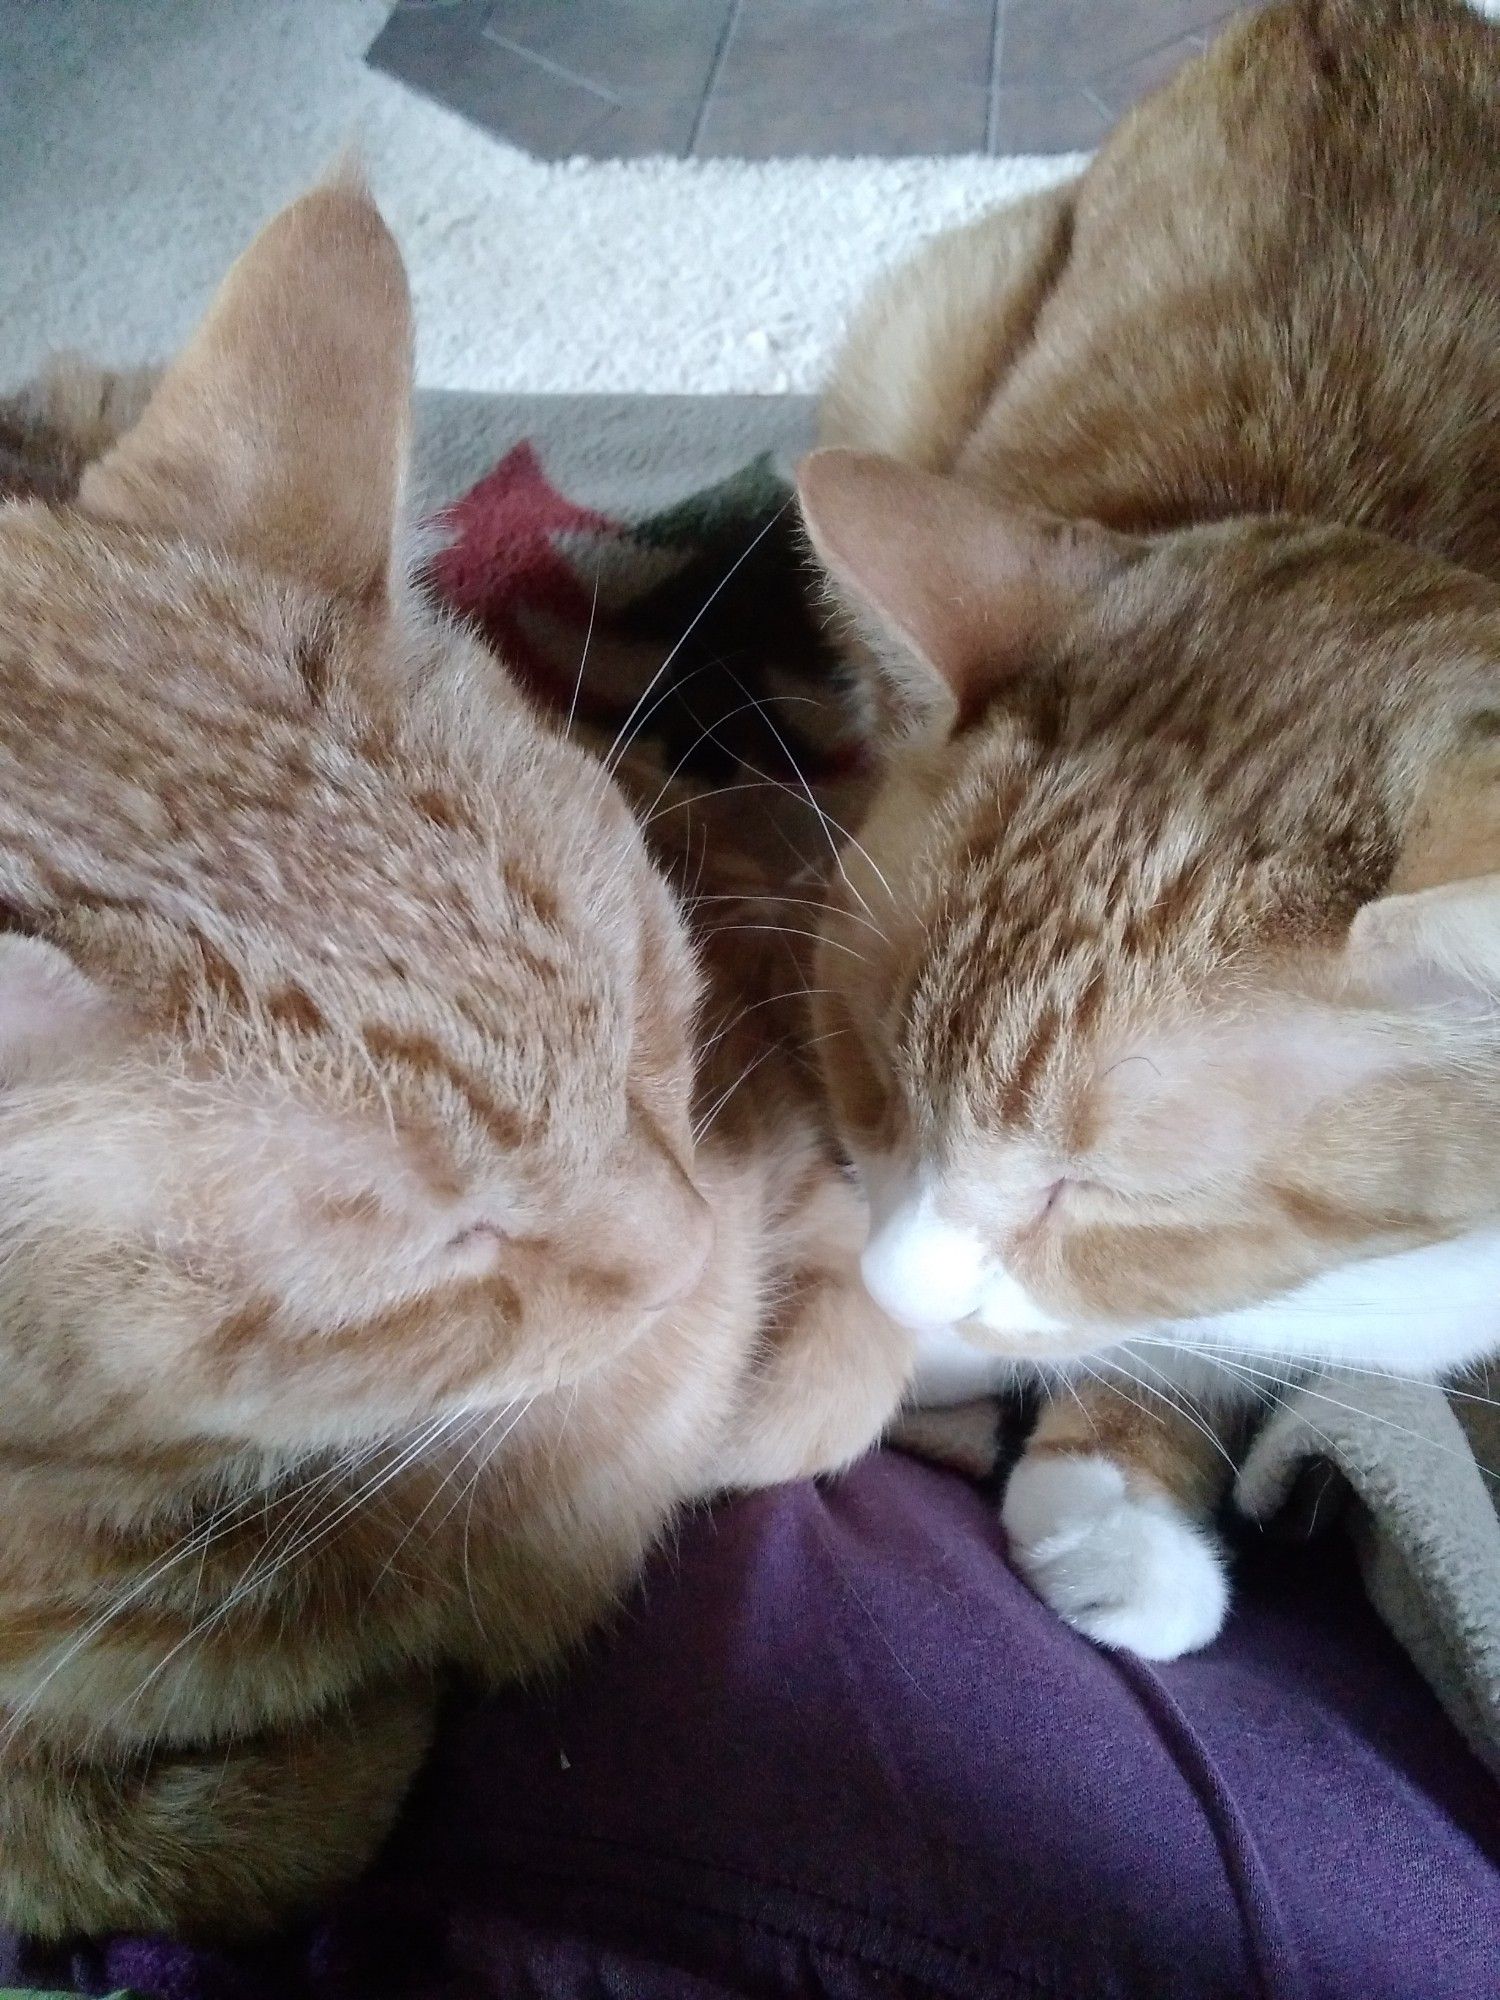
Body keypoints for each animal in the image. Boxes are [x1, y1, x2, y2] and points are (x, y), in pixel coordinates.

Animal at [0, 180, 912, 1928]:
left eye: (646, 1001)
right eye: (445, 1252)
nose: (686, 1253)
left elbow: (832, 1350)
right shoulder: (53, 1809)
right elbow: (237, 1830)